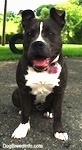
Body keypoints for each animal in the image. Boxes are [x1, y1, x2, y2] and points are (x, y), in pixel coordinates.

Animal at [11, 7, 68, 141]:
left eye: (51, 34)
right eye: (29, 34)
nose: (37, 43)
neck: (42, 70)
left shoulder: (60, 90)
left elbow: (58, 112)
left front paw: (59, 131)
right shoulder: (23, 90)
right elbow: (26, 112)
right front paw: (22, 128)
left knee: (50, 107)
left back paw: (48, 112)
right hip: (15, 93)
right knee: (25, 108)